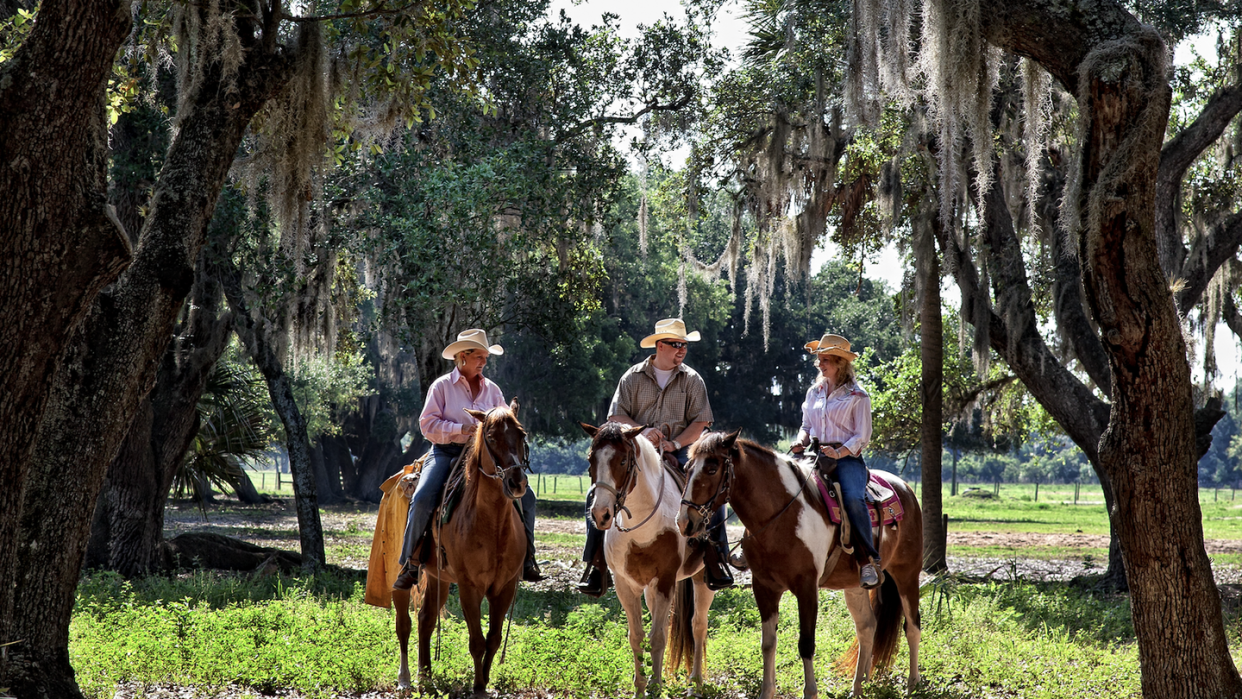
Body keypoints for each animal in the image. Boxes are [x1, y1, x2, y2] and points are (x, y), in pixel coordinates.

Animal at [392, 402, 529, 695]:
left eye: (521, 434)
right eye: (490, 437)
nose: (517, 483)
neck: (493, 525)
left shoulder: (504, 587)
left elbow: (493, 639)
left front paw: (485, 681)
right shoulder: (469, 587)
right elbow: (476, 640)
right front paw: (477, 687)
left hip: (438, 577)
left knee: (426, 619)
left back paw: (426, 676)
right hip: (401, 571)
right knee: (404, 621)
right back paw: (405, 678)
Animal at [581, 422, 720, 699]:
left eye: (623, 460)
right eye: (591, 459)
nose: (601, 514)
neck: (642, 526)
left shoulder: (665, 580)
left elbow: (657, 638)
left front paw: (656, 688)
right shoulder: (625, 585)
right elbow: (637, 636)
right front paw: (640, 688)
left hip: (701, 579)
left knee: (698, 625)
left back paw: (696, 683)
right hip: (650, 590)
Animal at [675, 429, 919, 695]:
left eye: (711, 469)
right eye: (687, 467)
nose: (684, 522)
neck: (782, 516)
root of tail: (905, 487)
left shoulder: (807, 587)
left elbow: (806, 643)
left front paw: (810, 691)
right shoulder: (764, 588)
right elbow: (768, 643)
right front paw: (767, 692)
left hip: (907, 573)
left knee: (912, 627)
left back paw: (913, 686)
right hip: (854, 585)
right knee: (866, 627)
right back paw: (857, 688)